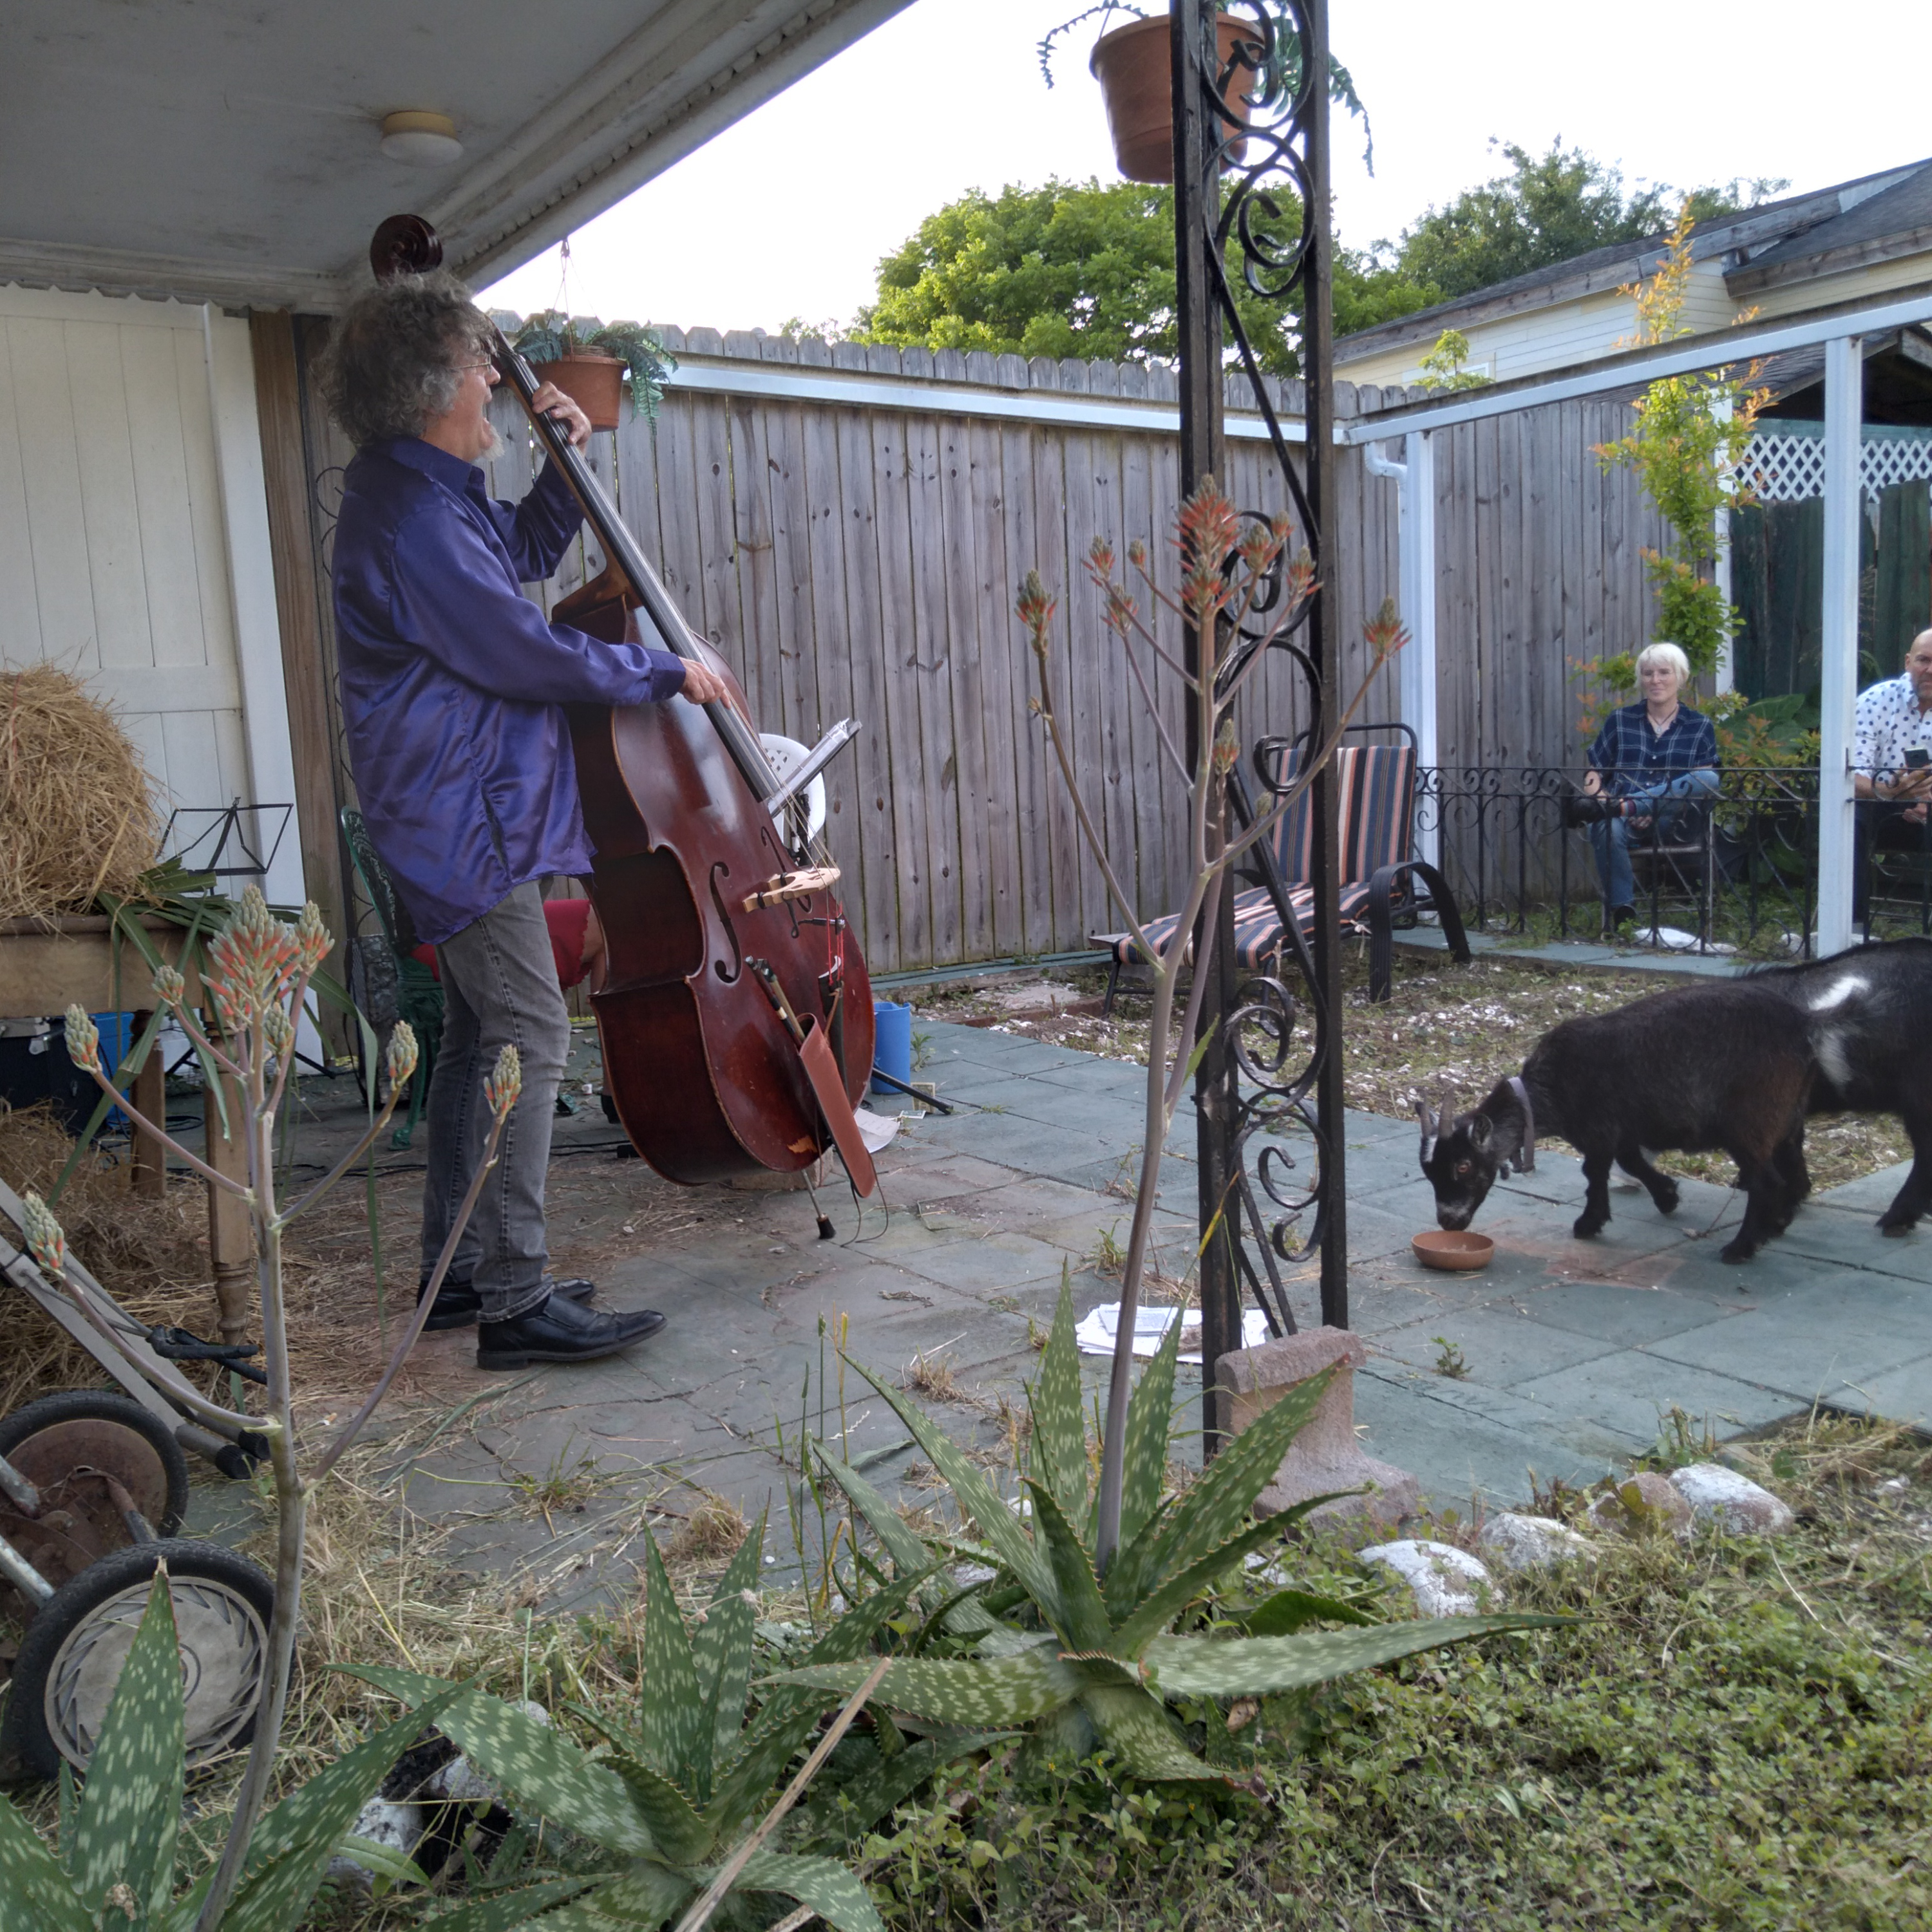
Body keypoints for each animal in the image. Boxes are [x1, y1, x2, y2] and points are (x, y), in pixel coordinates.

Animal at [1422, 981, 1808, 1267]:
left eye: (1464, 1165)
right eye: (1429, 1173)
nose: (1448, 1222)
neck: (1549, 1091)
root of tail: (1799, 1028)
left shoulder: (1599, 1131)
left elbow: (1594, 1172)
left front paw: (1588, 1223)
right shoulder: (1621, 1130)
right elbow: (1631, 1162)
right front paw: (1667, 1196)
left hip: (1749, 1122)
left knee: (1765, 1180)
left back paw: (1741, 1247)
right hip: (1787, 1115)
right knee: (1796, 1168)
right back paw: (1779, 1221)